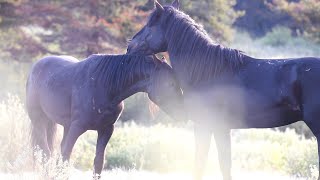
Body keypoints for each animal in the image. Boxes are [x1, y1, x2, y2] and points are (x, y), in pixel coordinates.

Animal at [26, 53, 186, 177]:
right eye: (171, 84)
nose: (183, 110)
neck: (104, 86)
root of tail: (36, 66)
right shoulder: (77, 127)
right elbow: (65, 157)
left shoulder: (106, 129)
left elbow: (98, 162)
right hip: (39, 120)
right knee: (46, 152)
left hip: (65, 126)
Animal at [128, 0, 320, 179]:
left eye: (151, 25)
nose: (130, 46)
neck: (207, 73)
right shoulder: (214, 128)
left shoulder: (212, 126)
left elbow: (211, 164)